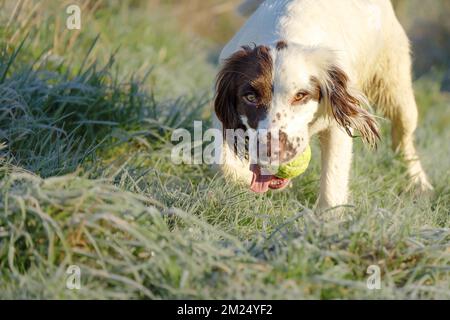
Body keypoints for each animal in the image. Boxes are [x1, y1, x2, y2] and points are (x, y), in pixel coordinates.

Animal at [213, 0, 430, 210]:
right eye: (250, 97)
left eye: (300, 95)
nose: (270, 149)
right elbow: (226, 164)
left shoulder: (338, 124)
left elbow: (333, 180)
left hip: (396, 88)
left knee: (403, 139)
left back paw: (419, 184)